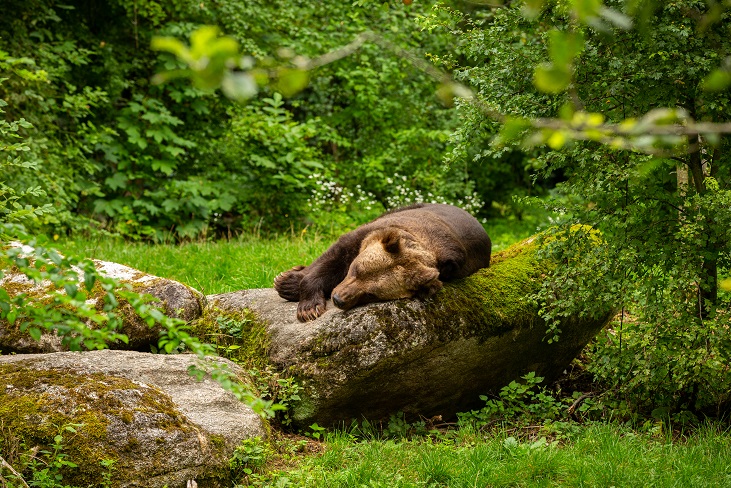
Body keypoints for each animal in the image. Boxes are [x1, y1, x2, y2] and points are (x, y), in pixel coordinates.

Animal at [274, 204, 492, 322]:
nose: (338, 299)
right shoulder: (369, 233)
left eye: (372, 294)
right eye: (356, 270)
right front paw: (307, 306)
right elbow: (332, 258)